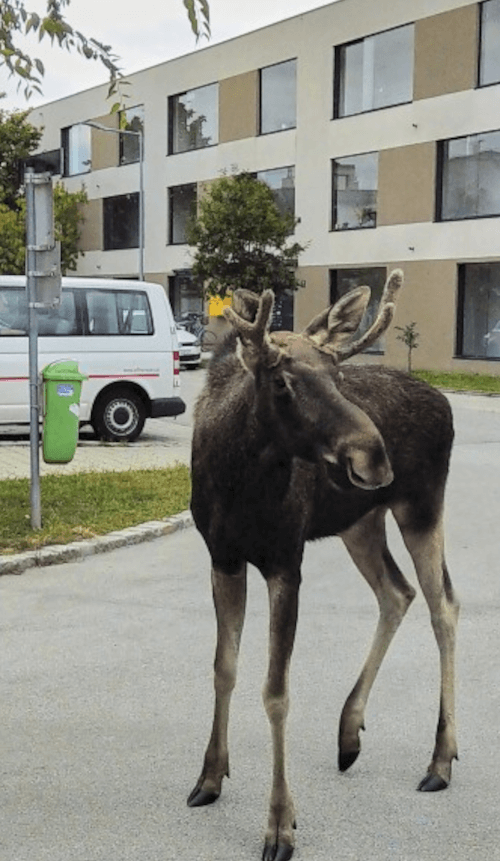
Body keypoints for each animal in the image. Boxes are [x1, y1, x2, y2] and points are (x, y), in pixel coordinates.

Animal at [187, 270, 459, 861]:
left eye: (337, 375)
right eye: (282, 382)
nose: (375, 457)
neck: (238, 483)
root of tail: (446, 403)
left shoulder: (286, 560)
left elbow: (276, 691)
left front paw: (280, 825)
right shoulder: (222, 557)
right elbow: (223, 668)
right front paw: (210, 777)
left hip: (421, 507)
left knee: (443, 606)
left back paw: (441, 759)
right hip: (361, 520)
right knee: (397, 593)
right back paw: (349, 732)